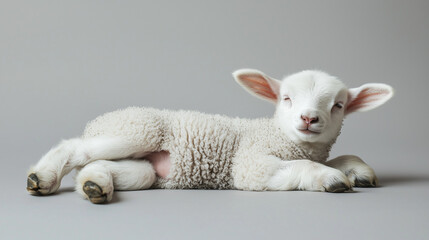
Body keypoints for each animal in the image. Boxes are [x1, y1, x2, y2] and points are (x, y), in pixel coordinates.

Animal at [26, 68, 392, 203]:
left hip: (144, 168)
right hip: (136, 129)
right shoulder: (250, 165)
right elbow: (308, 168)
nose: (308, 118)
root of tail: (97, 122)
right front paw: (331, 179)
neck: (277, 135)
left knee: (96, 165)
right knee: (75, 148)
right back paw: (42, 177)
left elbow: (340, 157)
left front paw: (358, 170)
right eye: (286, 98)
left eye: (339, 105)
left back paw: (95, 186)